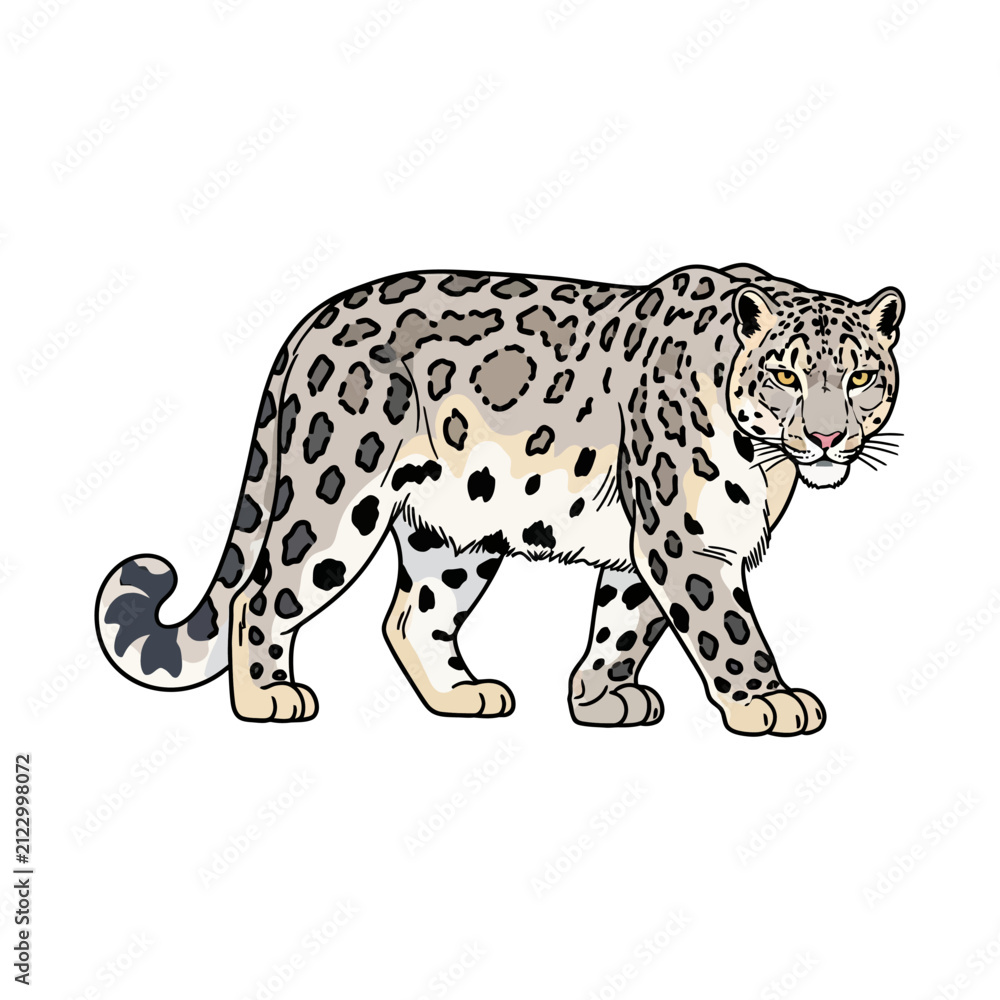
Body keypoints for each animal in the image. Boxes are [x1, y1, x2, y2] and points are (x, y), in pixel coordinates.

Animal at [96, 262, 903, 735]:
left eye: (861, 376)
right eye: (786, 377)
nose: (828, 437)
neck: (768, 466)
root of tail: (309, 322)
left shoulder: (648, 544)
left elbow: (622, 623)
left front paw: (597, 699)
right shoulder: (684, 537)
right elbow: (726, 629)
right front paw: (768, 700)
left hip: (453, 539)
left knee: (412, 618)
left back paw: (464, 694)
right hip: (336, 500)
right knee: (261, 594)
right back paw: (268, 698)